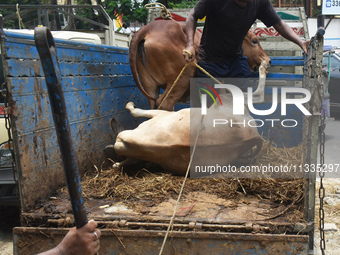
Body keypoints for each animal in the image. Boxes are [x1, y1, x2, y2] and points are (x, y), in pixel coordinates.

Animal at [129, 19, 270, 111]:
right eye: (255, 41)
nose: (268, 60)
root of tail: (146, 29)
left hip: (150, 86)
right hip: (183, 76)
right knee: (165, 104)